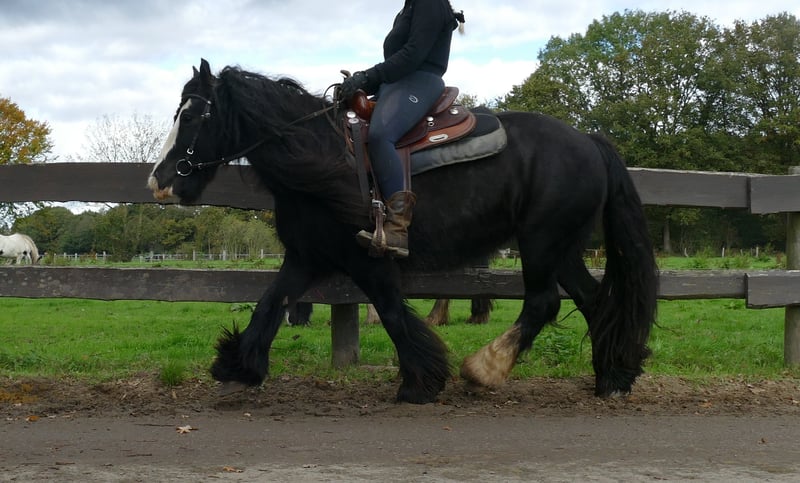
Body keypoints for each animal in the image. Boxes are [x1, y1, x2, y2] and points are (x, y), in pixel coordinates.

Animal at [148, 59, 657, 403]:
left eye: (190, 116)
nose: (160, 180)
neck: (322, 156)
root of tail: (588, 140)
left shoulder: (367, 259)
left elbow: (392, 312)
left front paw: (421, 381)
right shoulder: (306, 256)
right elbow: (270, 304)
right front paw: (238, 365)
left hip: (541, 243)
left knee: (544, 301)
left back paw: (484, 368)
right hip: (562, 248)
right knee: (593, 300)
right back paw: (611, 378)